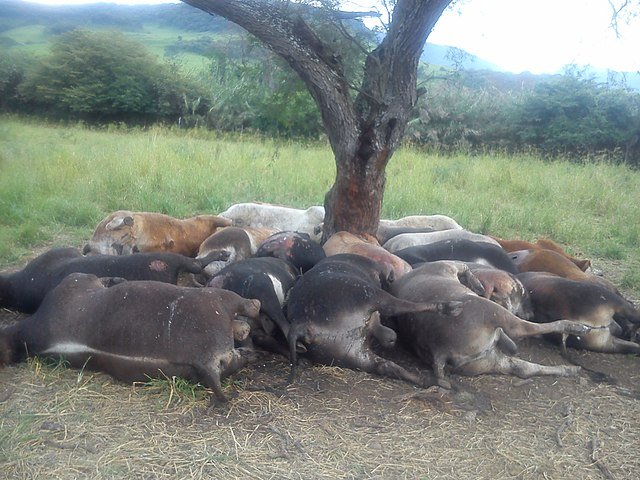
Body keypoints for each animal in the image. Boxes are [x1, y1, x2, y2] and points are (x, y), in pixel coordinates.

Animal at [285, 254, 463, 388]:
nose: (391, 338)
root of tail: (303, 323)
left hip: (352, 354)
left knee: (386, 366)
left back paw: (438, 382)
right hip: (369, 295)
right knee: (398, 307)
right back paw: (451, 307)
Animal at [388, 261, 591, 386]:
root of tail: (440, 352)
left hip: (485, 362)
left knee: (524, 368)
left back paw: (570, 369)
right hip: (497, 315)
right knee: (527, 329)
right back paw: (577, 328)